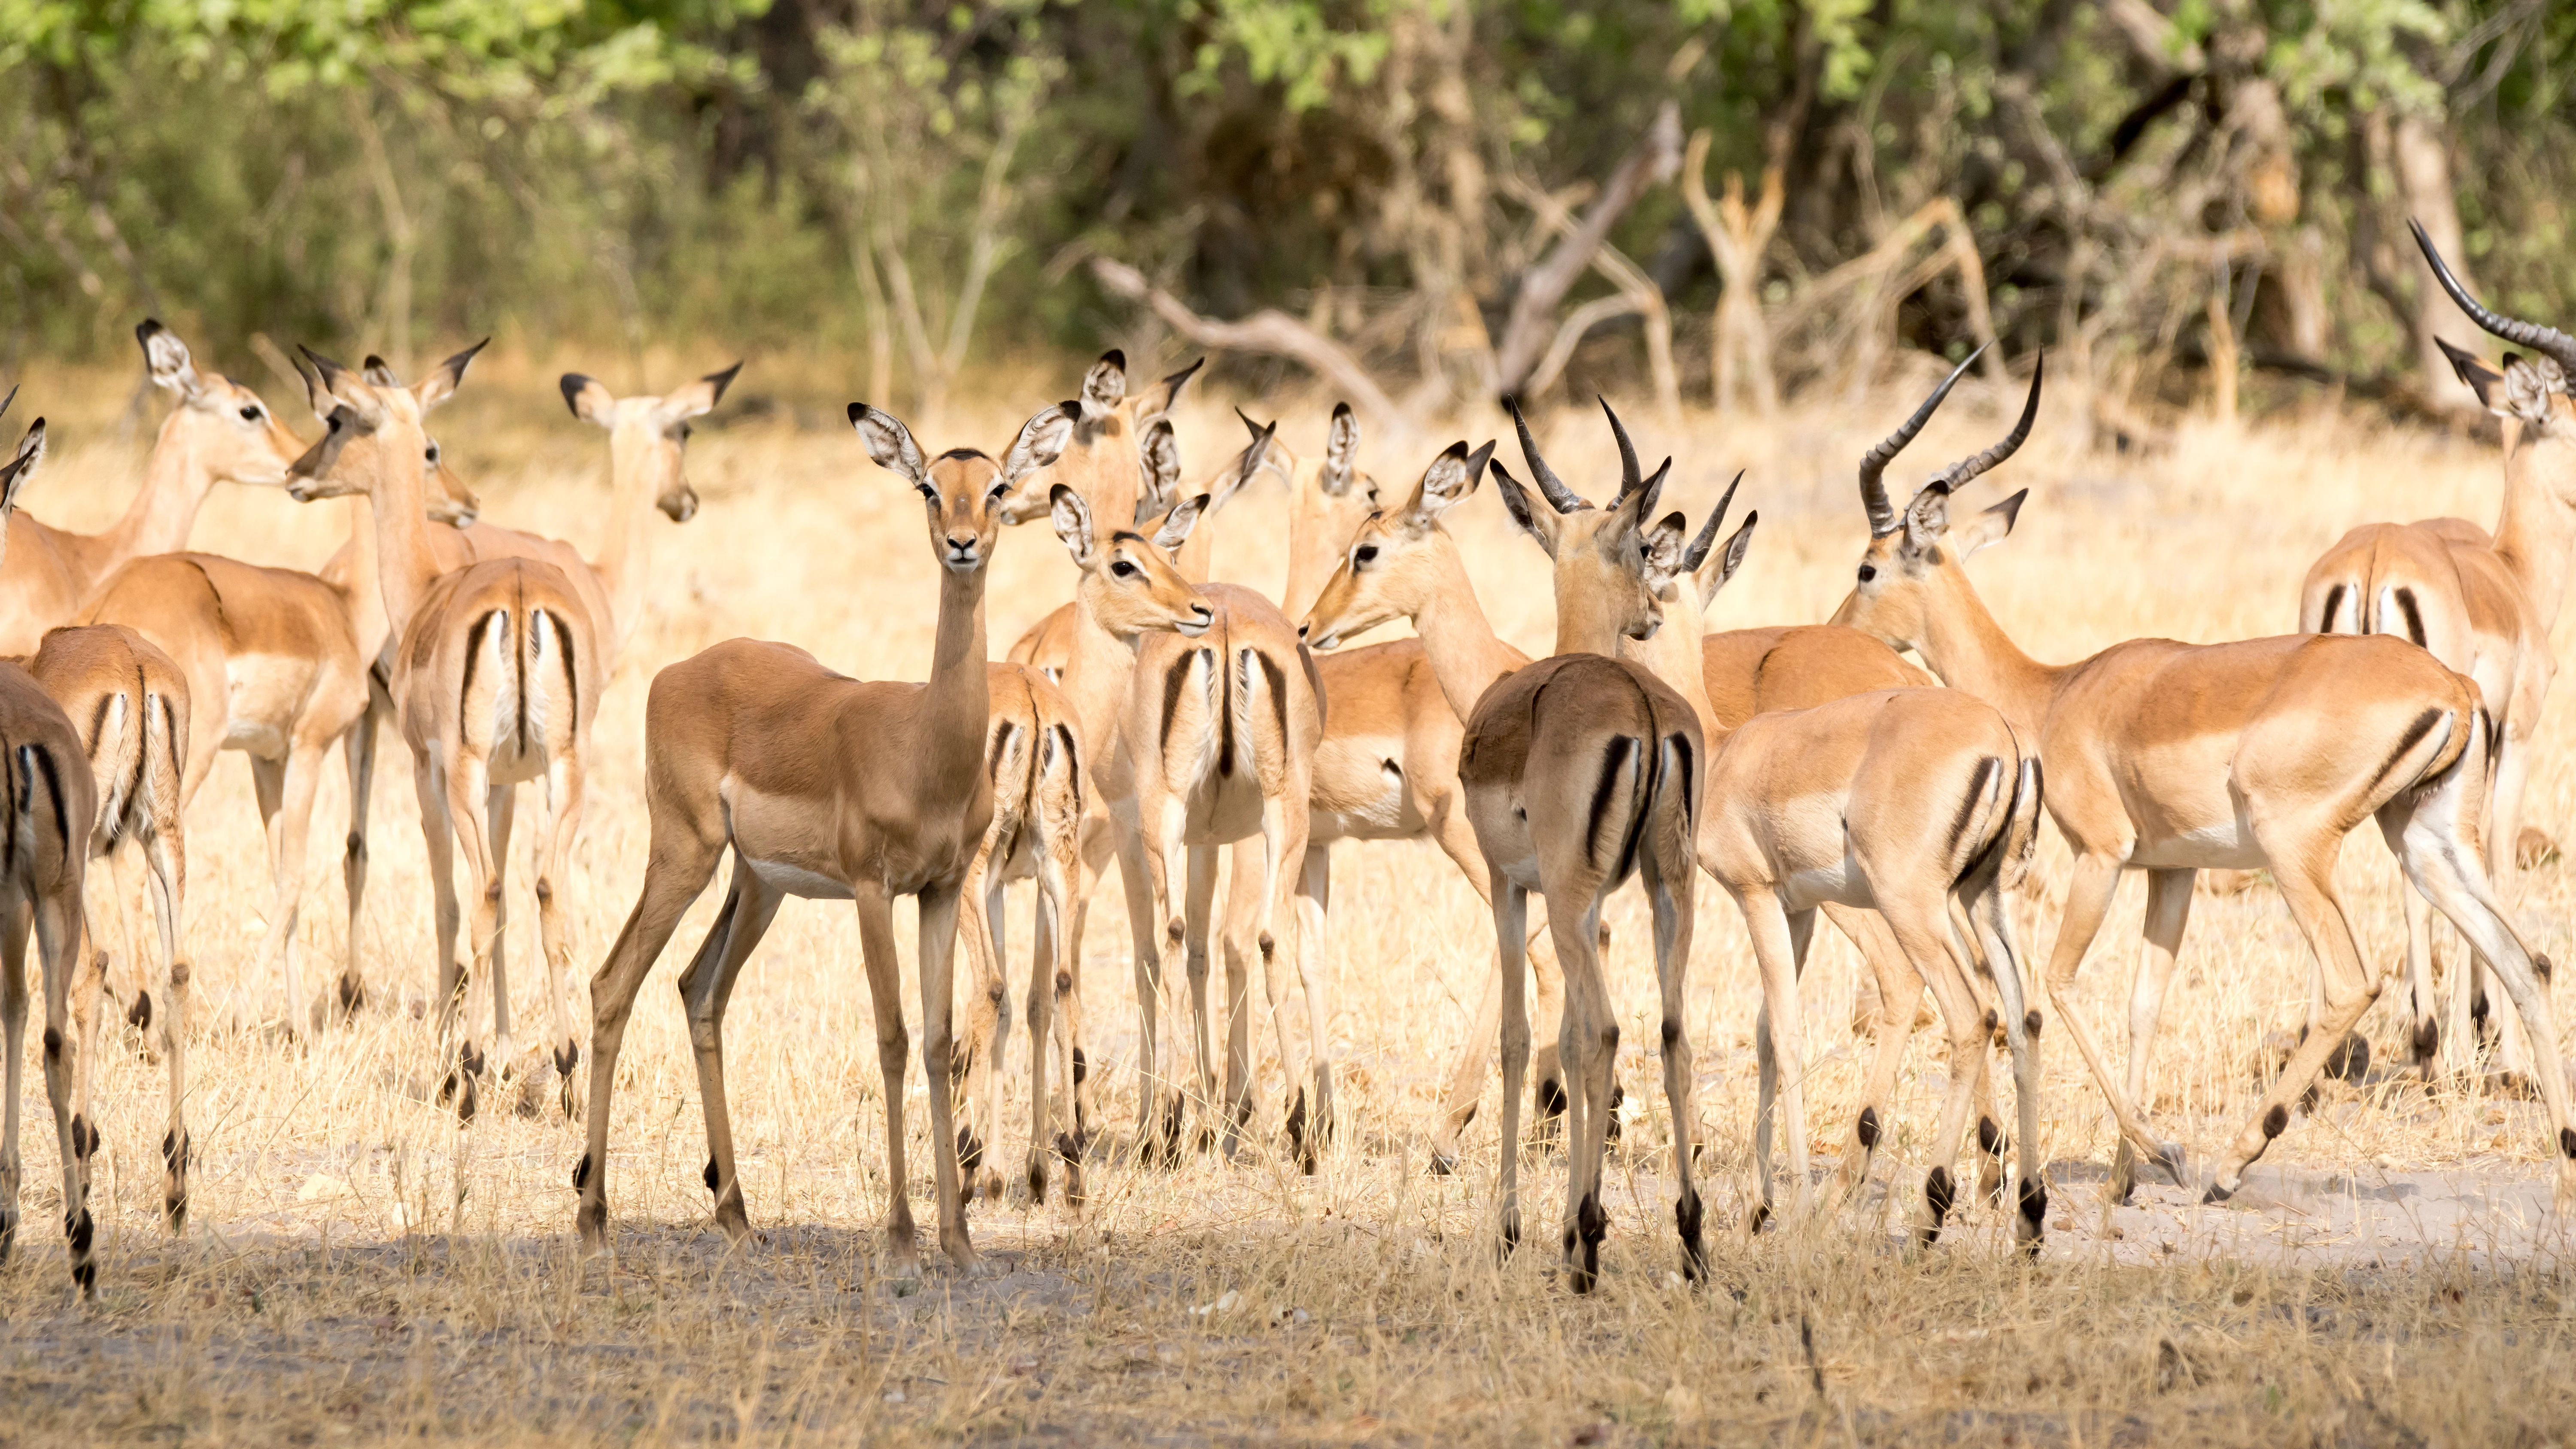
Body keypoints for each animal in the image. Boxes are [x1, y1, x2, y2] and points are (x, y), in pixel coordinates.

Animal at [28, 623, 190, 1231]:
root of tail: (131, 663)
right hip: (162, 835)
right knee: (177, 972)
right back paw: (176, 1185)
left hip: (76, 858)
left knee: (92, 973)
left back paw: (82, 1164)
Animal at [285, 341, 602, 1122]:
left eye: (337, 420)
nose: (297, 474)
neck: (426, 590)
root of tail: (519, 595)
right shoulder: (510, 781)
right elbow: (515, 894)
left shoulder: (428, 769)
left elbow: (447, 900)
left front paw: (458, 1059)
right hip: (567, 768)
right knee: (547, 887)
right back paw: (568, 1076)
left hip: (460, 772)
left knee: (480, 890)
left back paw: (466, 1076)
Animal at [1614, 412, 2048, 1251]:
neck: (1726, 746)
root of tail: (2005, 742)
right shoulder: (1799, 906)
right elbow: (1764, 1038)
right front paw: (1763, 1204)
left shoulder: (1757, 896)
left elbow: (1784, 1033)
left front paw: (1796, 1209)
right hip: (1985, 900)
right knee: (2022, 1016)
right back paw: (2031, 1216)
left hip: (1914, 907)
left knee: (1967, 1014)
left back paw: (1931, 1211)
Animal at [1831, 354, 2576, 1213]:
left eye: (1868, 566)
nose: (1838, 630)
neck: (2056, 694)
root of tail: (2452, 686)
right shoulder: (2174, 870)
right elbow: (2144, 1004)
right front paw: (2122, 1175)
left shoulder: (2101, 855)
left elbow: (2059, 981)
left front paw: (2164, 1152)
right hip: (2426, 840)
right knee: (2529, 962)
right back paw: (2563, 1168)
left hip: (2298, 851)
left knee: (2354, 980)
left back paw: (2231, 1164)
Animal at [2296, 222, 2576, 1081]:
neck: (2511, 570)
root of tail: (2375, 558)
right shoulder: (2515, 735)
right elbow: (2496, 858)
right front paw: (2495, 1045)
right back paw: (2432, 1041)